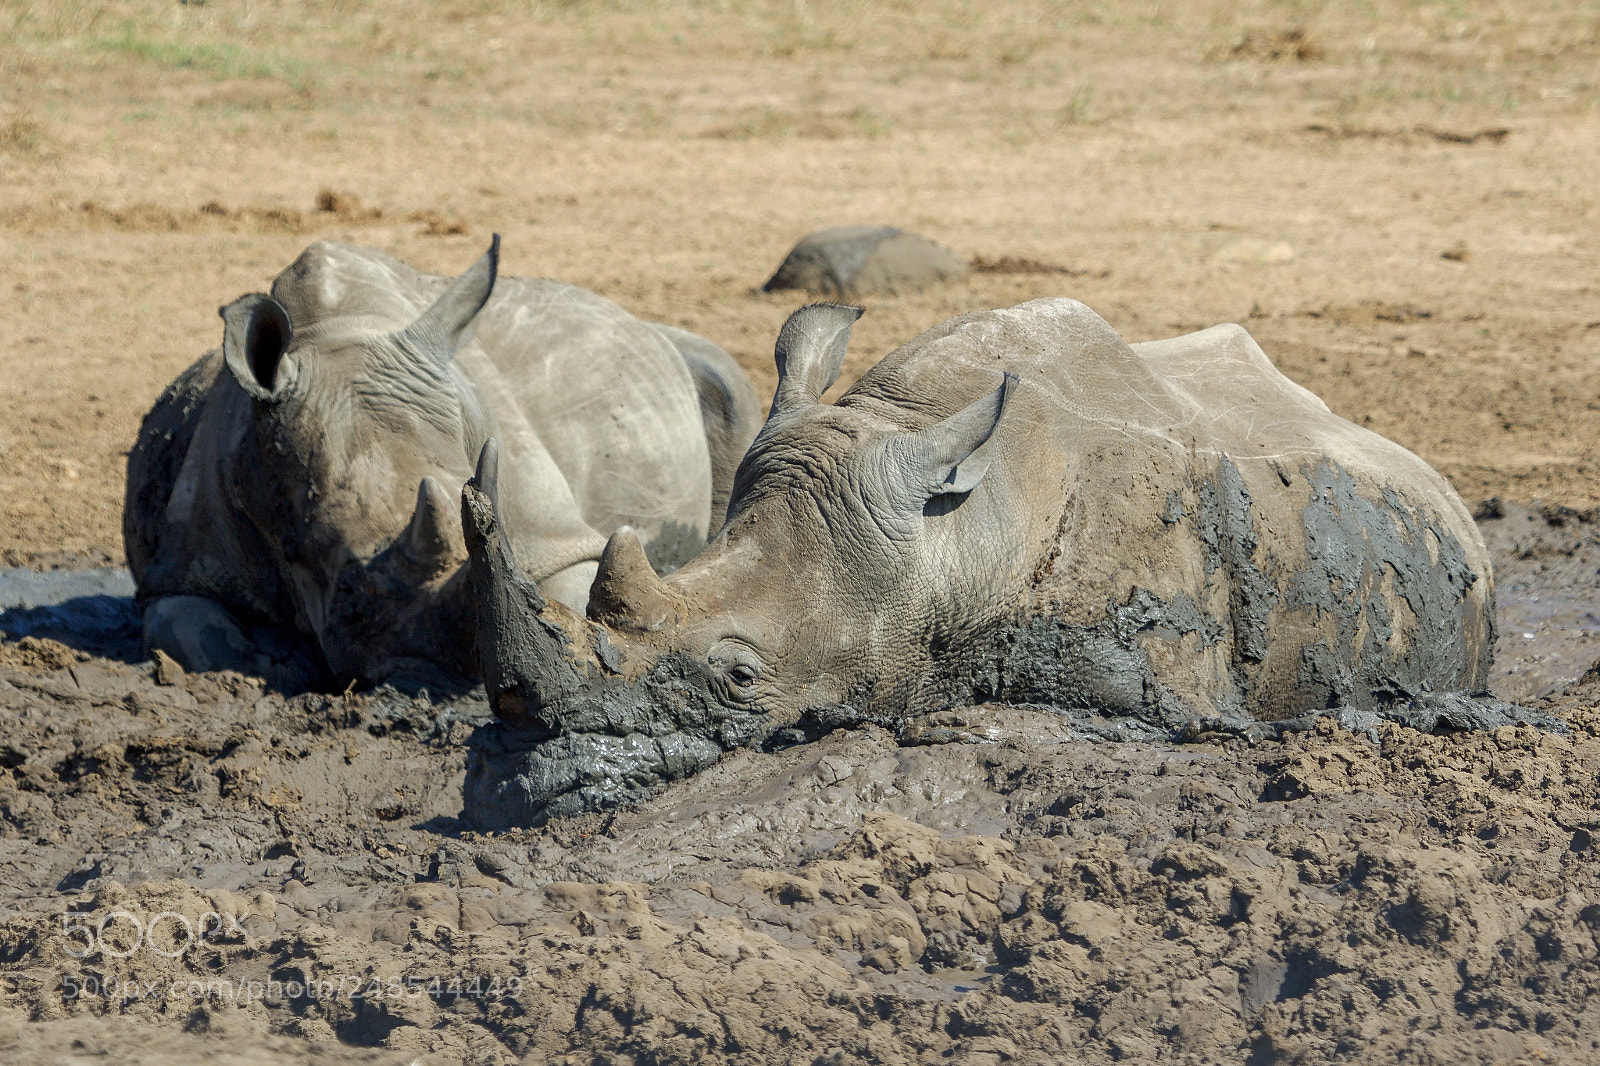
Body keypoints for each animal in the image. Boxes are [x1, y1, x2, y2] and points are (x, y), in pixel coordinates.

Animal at [124, 237, 760, 689]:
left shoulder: (556, 537)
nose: (432, 677)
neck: (337, 333)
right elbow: (191, 627)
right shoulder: (184, 557)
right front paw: (283, 662)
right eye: (345, 593)